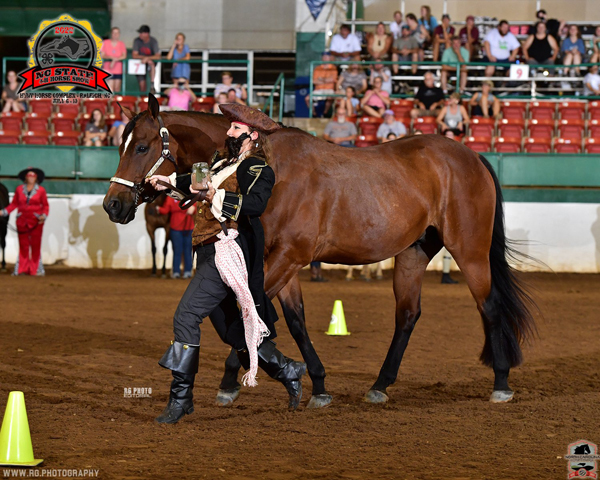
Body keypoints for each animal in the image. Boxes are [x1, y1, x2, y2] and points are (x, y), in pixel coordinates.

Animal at [103, 96, 540, 408]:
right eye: (120, 144)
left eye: (141, 146)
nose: (113, 205)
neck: (269, 168)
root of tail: (471, 155)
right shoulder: (282, 263)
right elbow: (294, 321)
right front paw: (317, 384)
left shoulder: (287, 258)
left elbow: (250, 312)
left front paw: (232, 380)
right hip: (413, 253)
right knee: (407, 316)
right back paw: (380, 385)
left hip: (470, 250)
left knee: (489, 305)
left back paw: (501, 382)